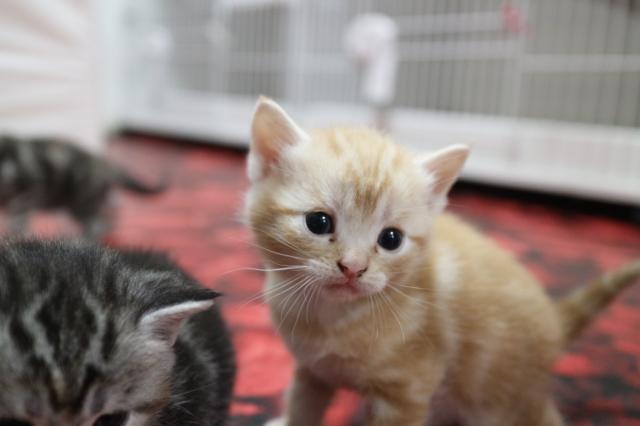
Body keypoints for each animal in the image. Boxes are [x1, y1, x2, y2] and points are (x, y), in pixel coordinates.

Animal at [0, 135, 165, 238]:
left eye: (9, 168)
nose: (7, 174)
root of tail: (106, 165)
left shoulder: (33, 187)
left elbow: (19, 210)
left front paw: (16, 230)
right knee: (110, 214)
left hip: (82, 199)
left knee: (101, 223)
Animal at [244, 97, 640, 426]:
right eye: (318, 222)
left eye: (391, 239)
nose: (353, 268)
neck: (330, 319)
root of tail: (555, 322)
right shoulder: (312, 368)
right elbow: (302, 401)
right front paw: (290, 420)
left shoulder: (408, 389)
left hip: (503, 401)